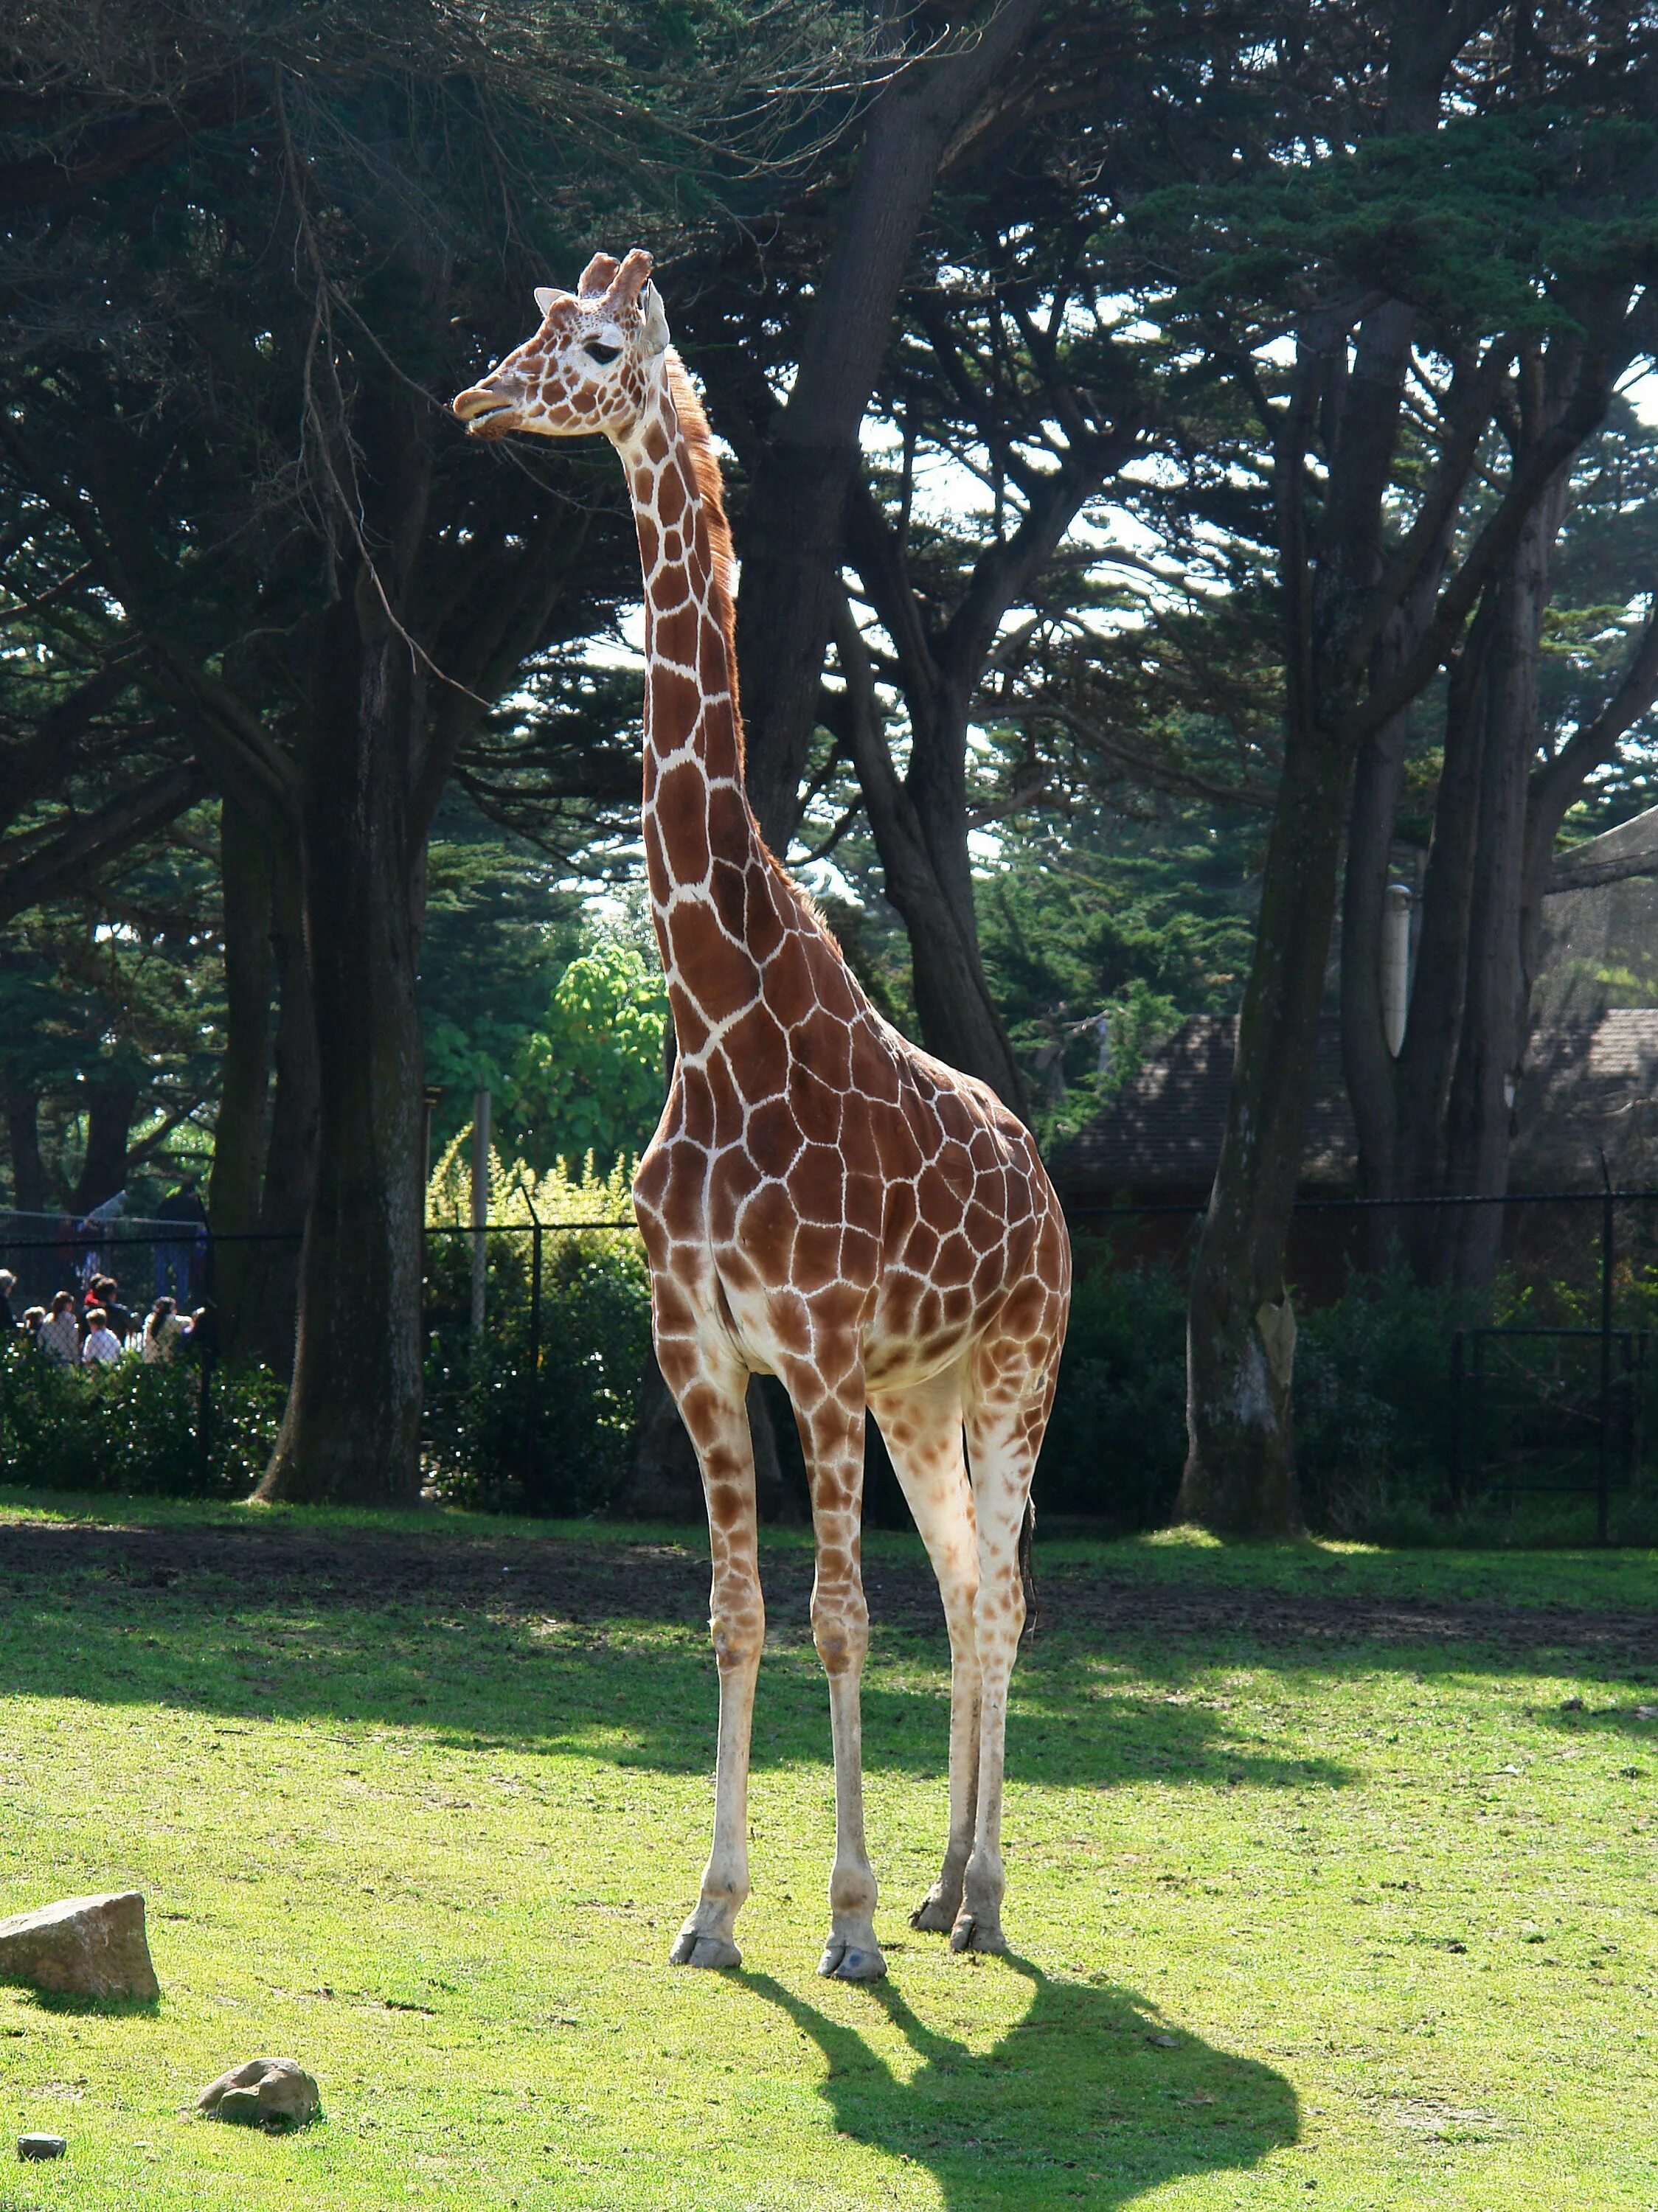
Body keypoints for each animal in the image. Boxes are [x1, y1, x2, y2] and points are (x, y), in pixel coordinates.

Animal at [456, 251, 1075, 1982]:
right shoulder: (700, 1352)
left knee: (1001, 1597)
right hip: (927, 1396)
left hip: (1014, 1373)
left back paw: (975, 1898)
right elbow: (737, 1615)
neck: (714, 1021)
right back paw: (945, 1884)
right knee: (964, 1588)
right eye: (530, 331)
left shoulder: (818, 1356)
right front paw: (718, 1907)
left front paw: (845, 1924)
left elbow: (832, 1618)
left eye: (599, 346)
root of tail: (1045, 1180)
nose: (473, 401)